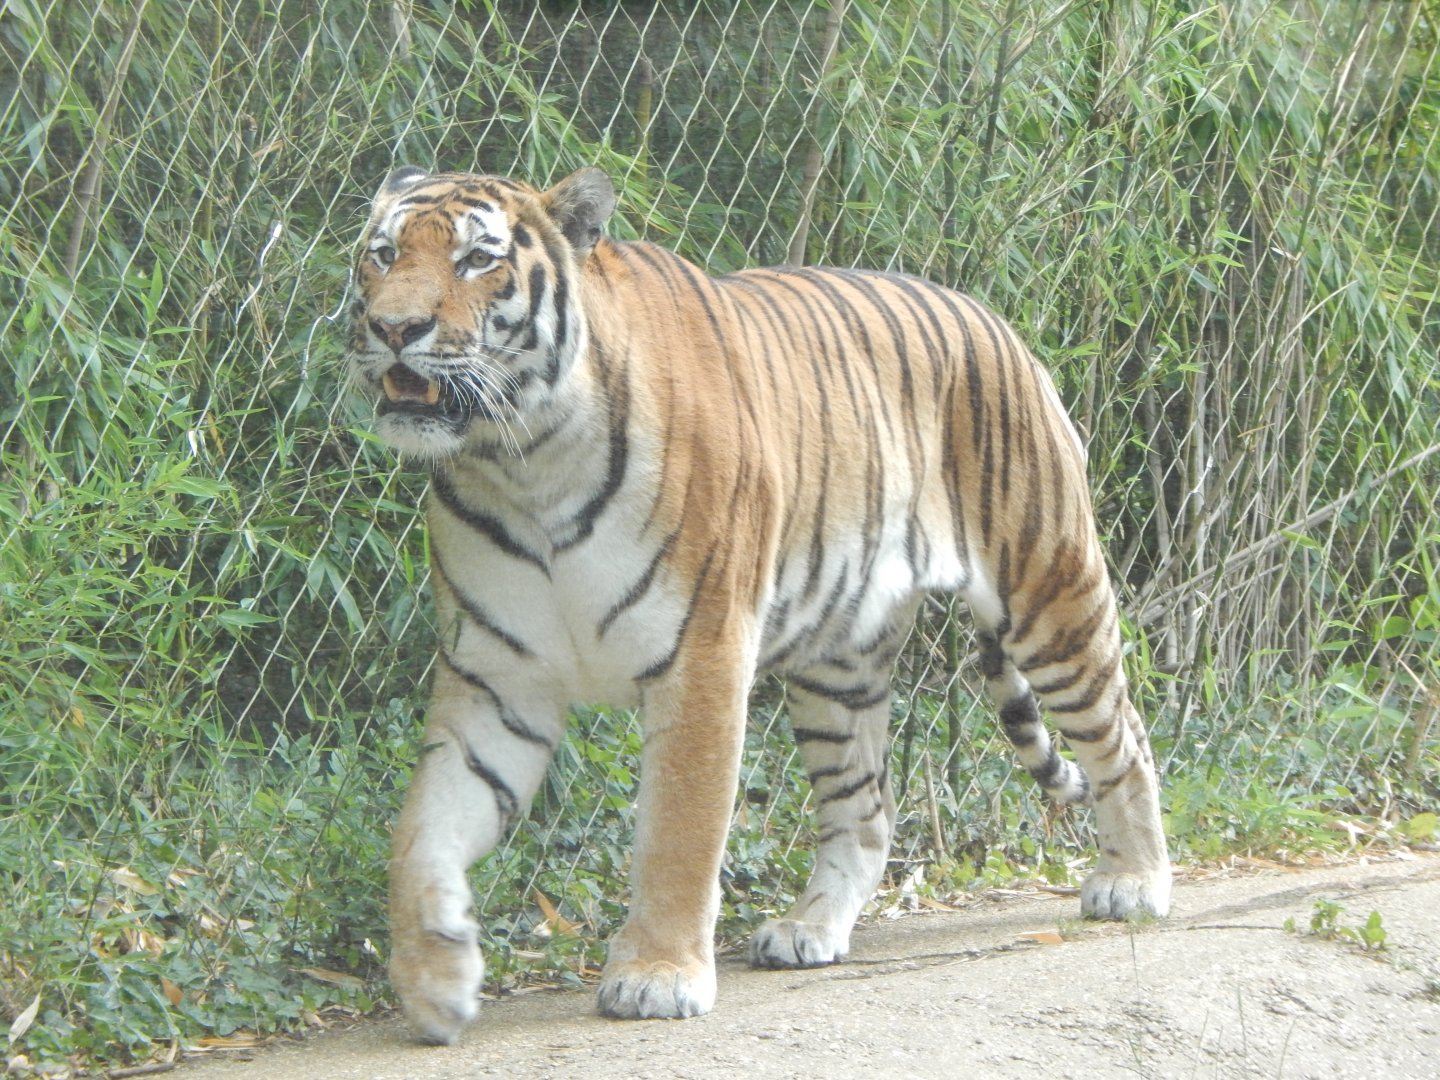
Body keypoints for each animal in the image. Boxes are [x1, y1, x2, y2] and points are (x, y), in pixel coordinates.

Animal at [346, 165, 1172, 1045]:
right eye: (384, 253)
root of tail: (1001, 327)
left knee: (1125, 739)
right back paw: (810, 929)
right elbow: (421, 831)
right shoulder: (497, 680)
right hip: (839, 666)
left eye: (476, 259)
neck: (524, 462)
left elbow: (679, 829)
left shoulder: (700, 655)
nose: (393, 327)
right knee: (865, 809)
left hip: (1051, 595)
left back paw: (1136, 884)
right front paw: (435, 981)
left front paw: (657, 975)